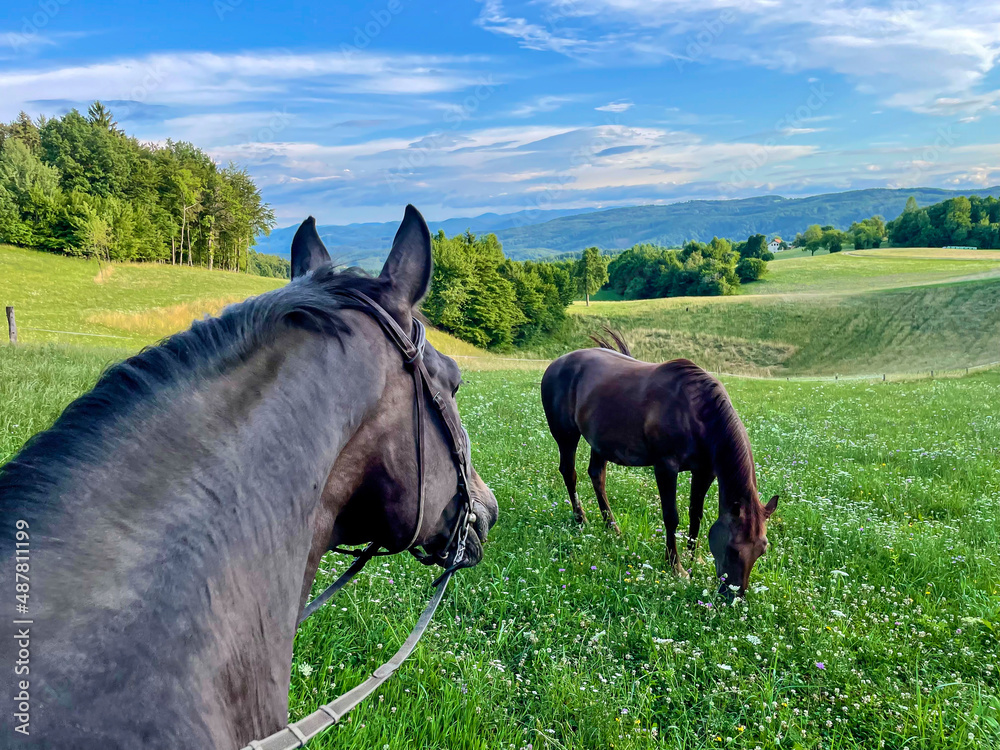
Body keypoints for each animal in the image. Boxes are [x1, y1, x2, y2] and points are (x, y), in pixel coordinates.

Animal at [544, 334, 776, 600]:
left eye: (761, 550)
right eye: (734, 549)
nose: (732, 596)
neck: (694, 412)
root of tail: (556, 363)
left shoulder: (704, 471)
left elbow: (695, 515)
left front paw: (692, 559)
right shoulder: (666, 467)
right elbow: (671, 517)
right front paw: (676, 567)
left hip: (598, 441)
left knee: (597, 476)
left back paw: (611, 527)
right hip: (566, 436)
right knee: (569, 473)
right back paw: (580, 518)